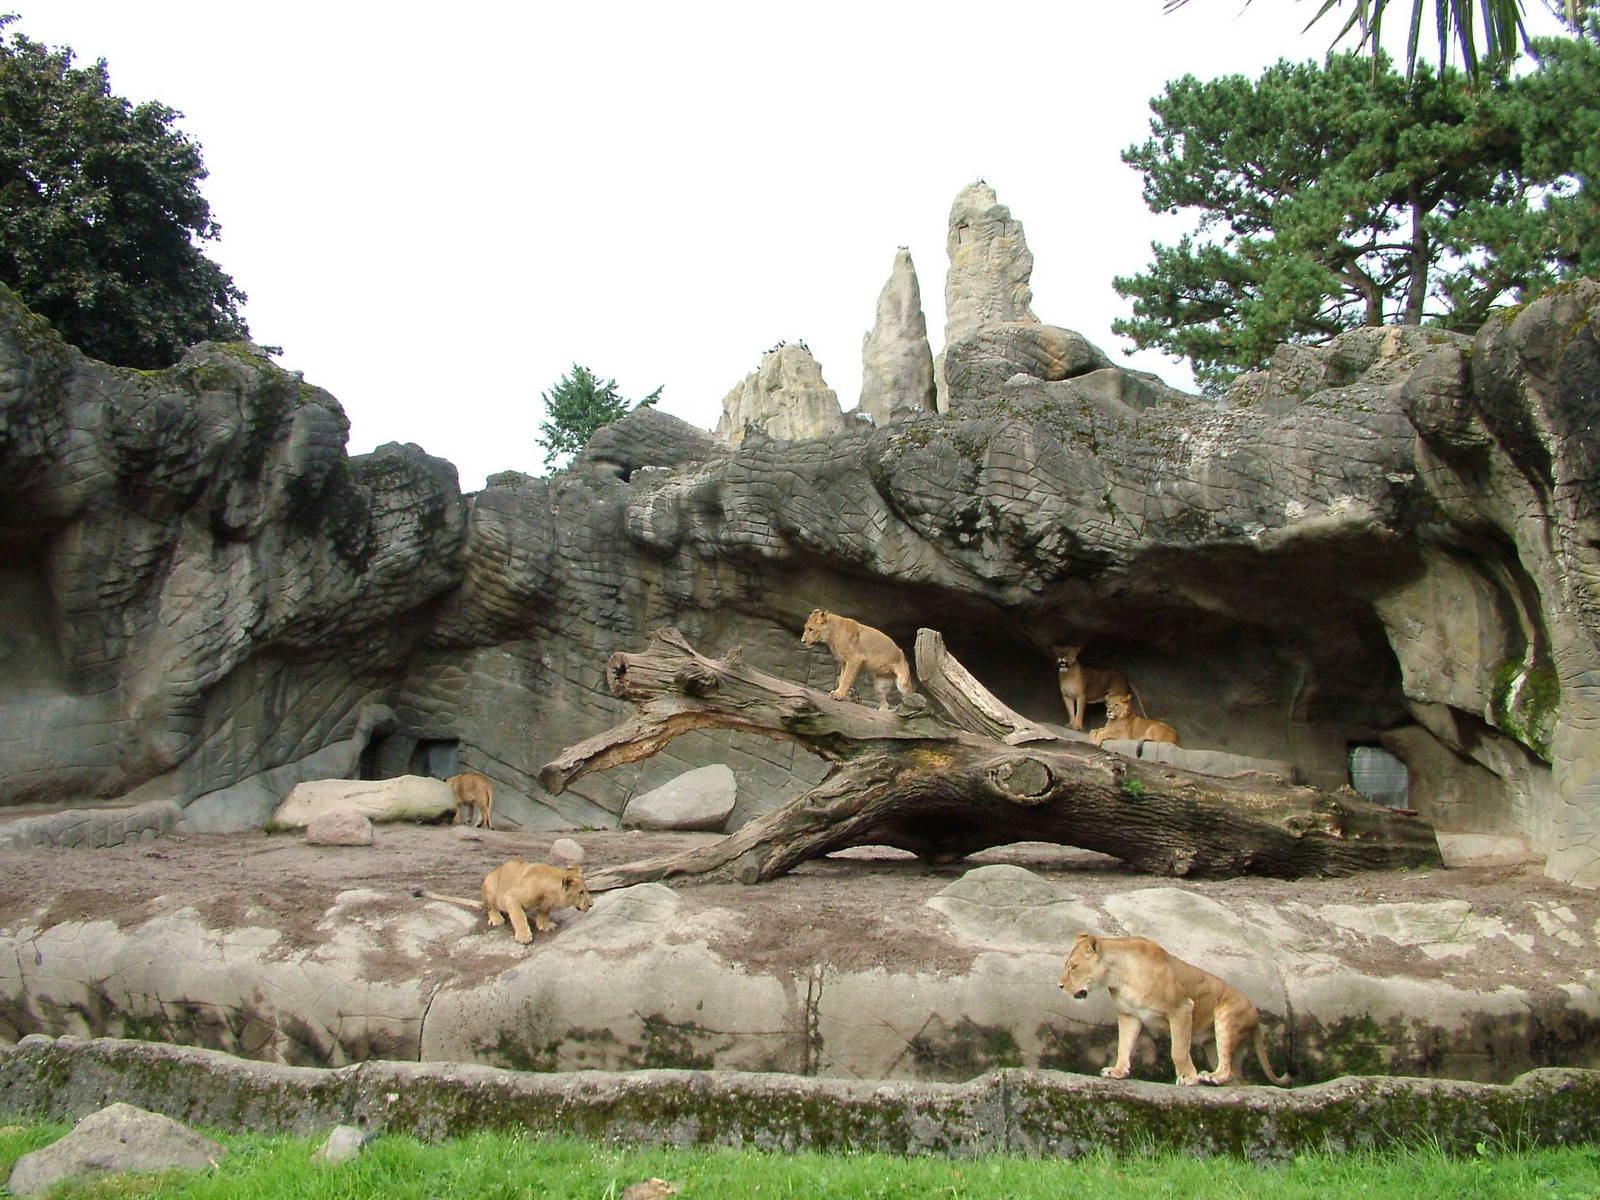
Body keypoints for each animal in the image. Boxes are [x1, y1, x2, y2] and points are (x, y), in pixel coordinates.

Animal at [419, 860, 592, 945]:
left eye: (586, 890)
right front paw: (524, 936)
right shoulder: (511, 897)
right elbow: (518, 917)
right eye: (581, 892)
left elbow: (544, 912)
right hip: (490, 885)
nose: (591, 904)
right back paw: (497, 918)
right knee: (491, 908)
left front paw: (544, 925)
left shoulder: (545, 904)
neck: (549, 892)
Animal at [1058, 931, 1290, 1086]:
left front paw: (1188, 1077)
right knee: (1236, 1078)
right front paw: (1117, 1071)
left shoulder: (1182, 1008)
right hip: (1212, 1045)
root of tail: (1256, 1015)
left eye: (1074, 967)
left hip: (1227, 1018)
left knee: (1226, 1069)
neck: (1119, 976)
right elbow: (1123, 1045)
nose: (1060, 986)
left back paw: (1210, 1077)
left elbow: (1178, 1050)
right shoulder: (1129, 1015)